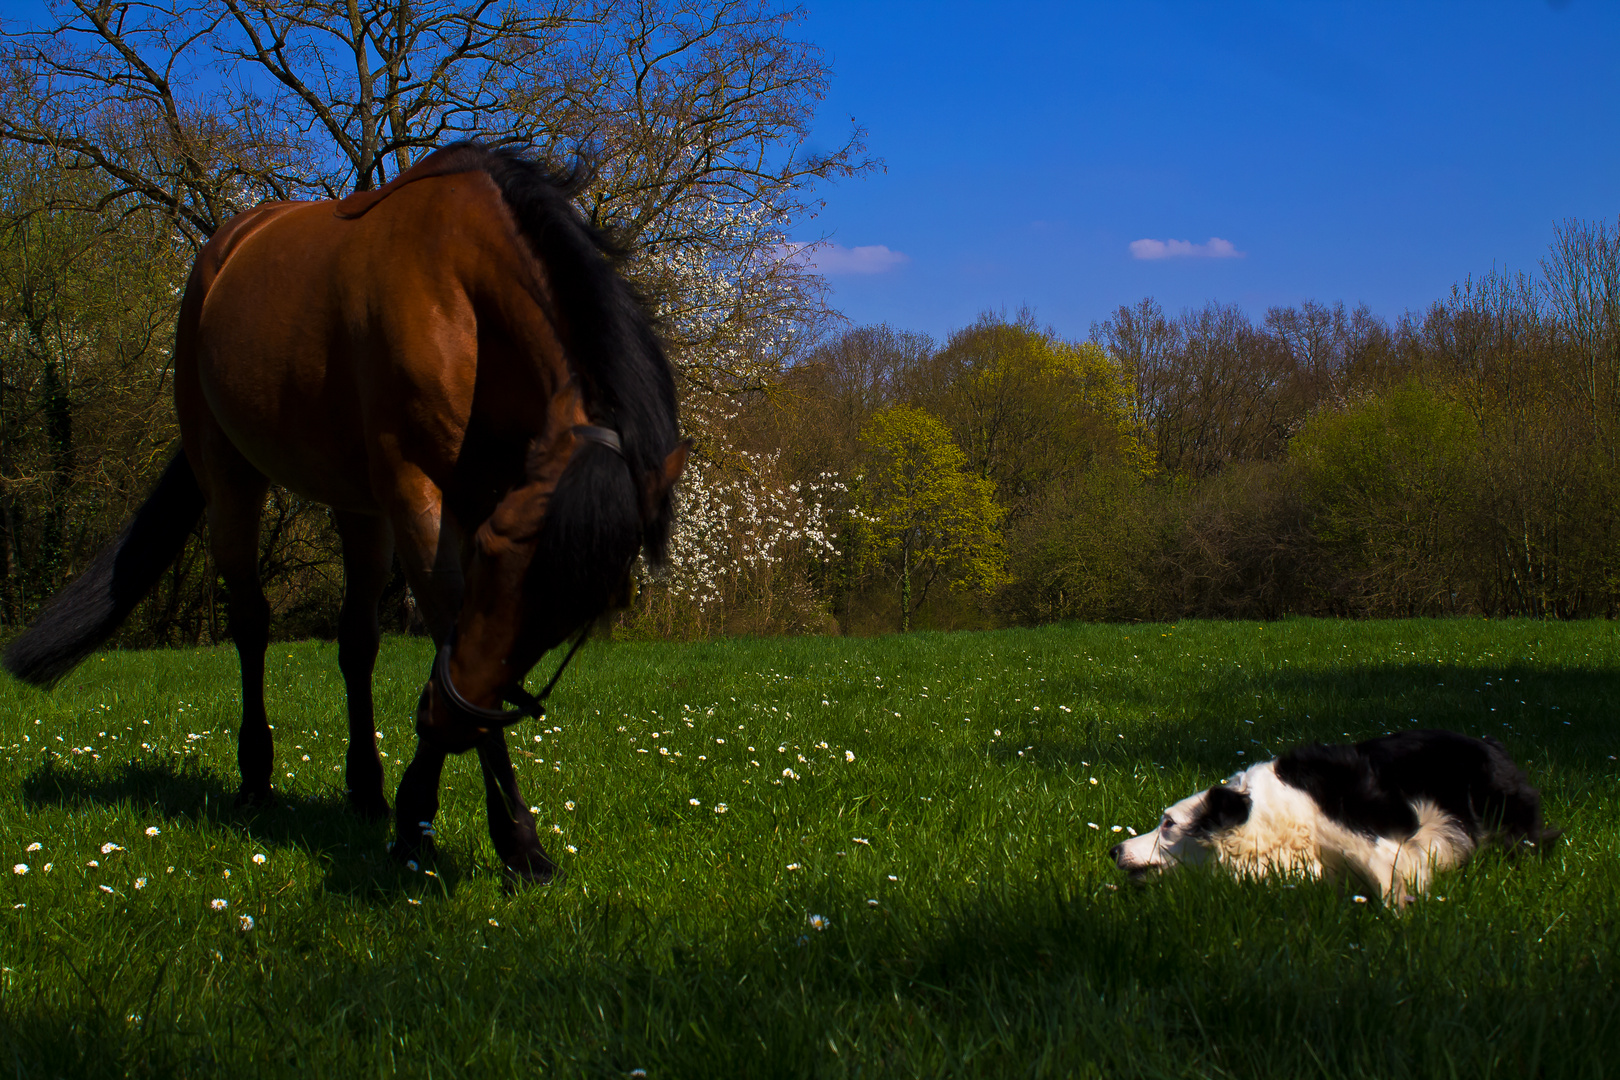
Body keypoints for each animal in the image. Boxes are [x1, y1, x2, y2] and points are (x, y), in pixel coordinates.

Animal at [1, 141, 683, 887]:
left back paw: (366, 787)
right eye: (492, 549)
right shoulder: (421, 498)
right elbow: (447, 626)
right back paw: (255, 778)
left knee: (356, 642)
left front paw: (419, 815)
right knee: (251, 624)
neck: (459, 281)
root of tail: (226, 247)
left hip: (359, 510)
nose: (444, 723)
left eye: (578, 610)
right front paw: (510, 839)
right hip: (232, 477)